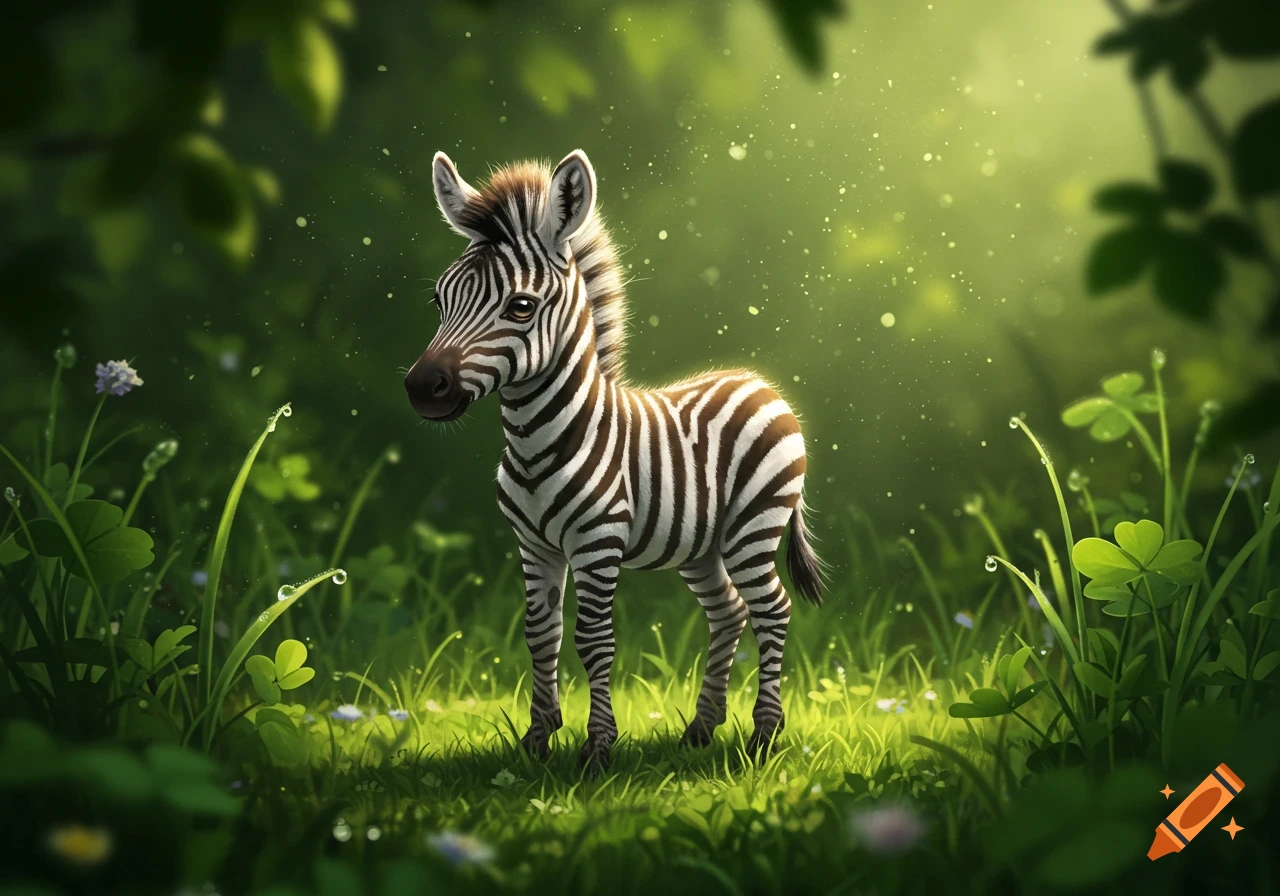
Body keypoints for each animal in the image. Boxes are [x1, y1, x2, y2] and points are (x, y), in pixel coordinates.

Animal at [405, 149, 824, 769]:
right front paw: (536, 740)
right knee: (728, 610)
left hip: (754, 525)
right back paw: (701, 728)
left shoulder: (596, 542)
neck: (536, 443)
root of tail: (761, 383)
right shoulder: (532, 544)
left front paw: (598, 747)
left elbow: (593, 638)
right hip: (700, 544)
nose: (421, 388)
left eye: (521, 306)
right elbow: (540, 633)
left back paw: (764, 735)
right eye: (439, 299)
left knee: (772, 608)